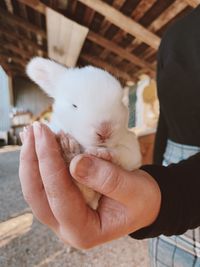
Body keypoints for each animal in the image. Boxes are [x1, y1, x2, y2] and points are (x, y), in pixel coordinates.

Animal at [26, 58, 141, 209]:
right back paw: (68, 148)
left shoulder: (132, 150)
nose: (104, 131)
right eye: (74, 105)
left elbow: (125, 155)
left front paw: (103, 154)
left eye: (121, 102)